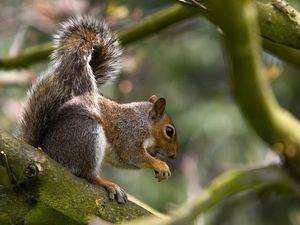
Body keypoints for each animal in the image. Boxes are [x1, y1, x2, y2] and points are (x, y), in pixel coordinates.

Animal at [19, 14, 177, 203]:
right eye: (169, 131)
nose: (174, 155)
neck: (143, 121)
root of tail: (48, 152)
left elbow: (125, 161)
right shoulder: (130, 134)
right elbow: (132, 155)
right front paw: (160, 164)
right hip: (87, 135)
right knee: (86, 174)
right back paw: (106, 183)